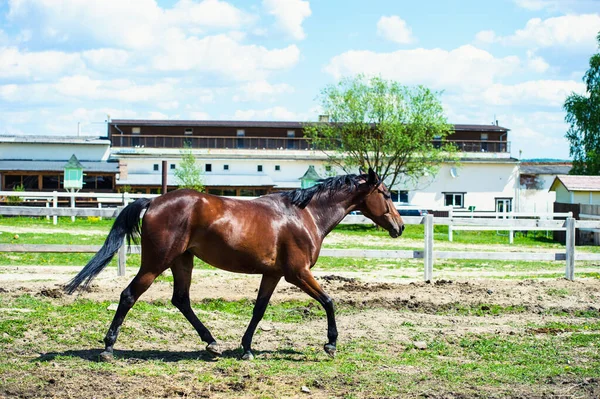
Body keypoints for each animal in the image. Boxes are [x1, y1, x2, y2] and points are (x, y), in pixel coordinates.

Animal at [64, 167, 404, 360]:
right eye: (387, 194)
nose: (399, 227)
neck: (304, 215)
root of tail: (154, 200)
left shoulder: (273, 274)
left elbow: (259, 309)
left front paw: (247, 348)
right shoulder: (297, 273)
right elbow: (329, 300)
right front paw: (331, 344)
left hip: (182, 261)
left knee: (181, 300)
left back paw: (212, 344)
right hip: (156, 262)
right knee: (129, 295)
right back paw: (108, 348)